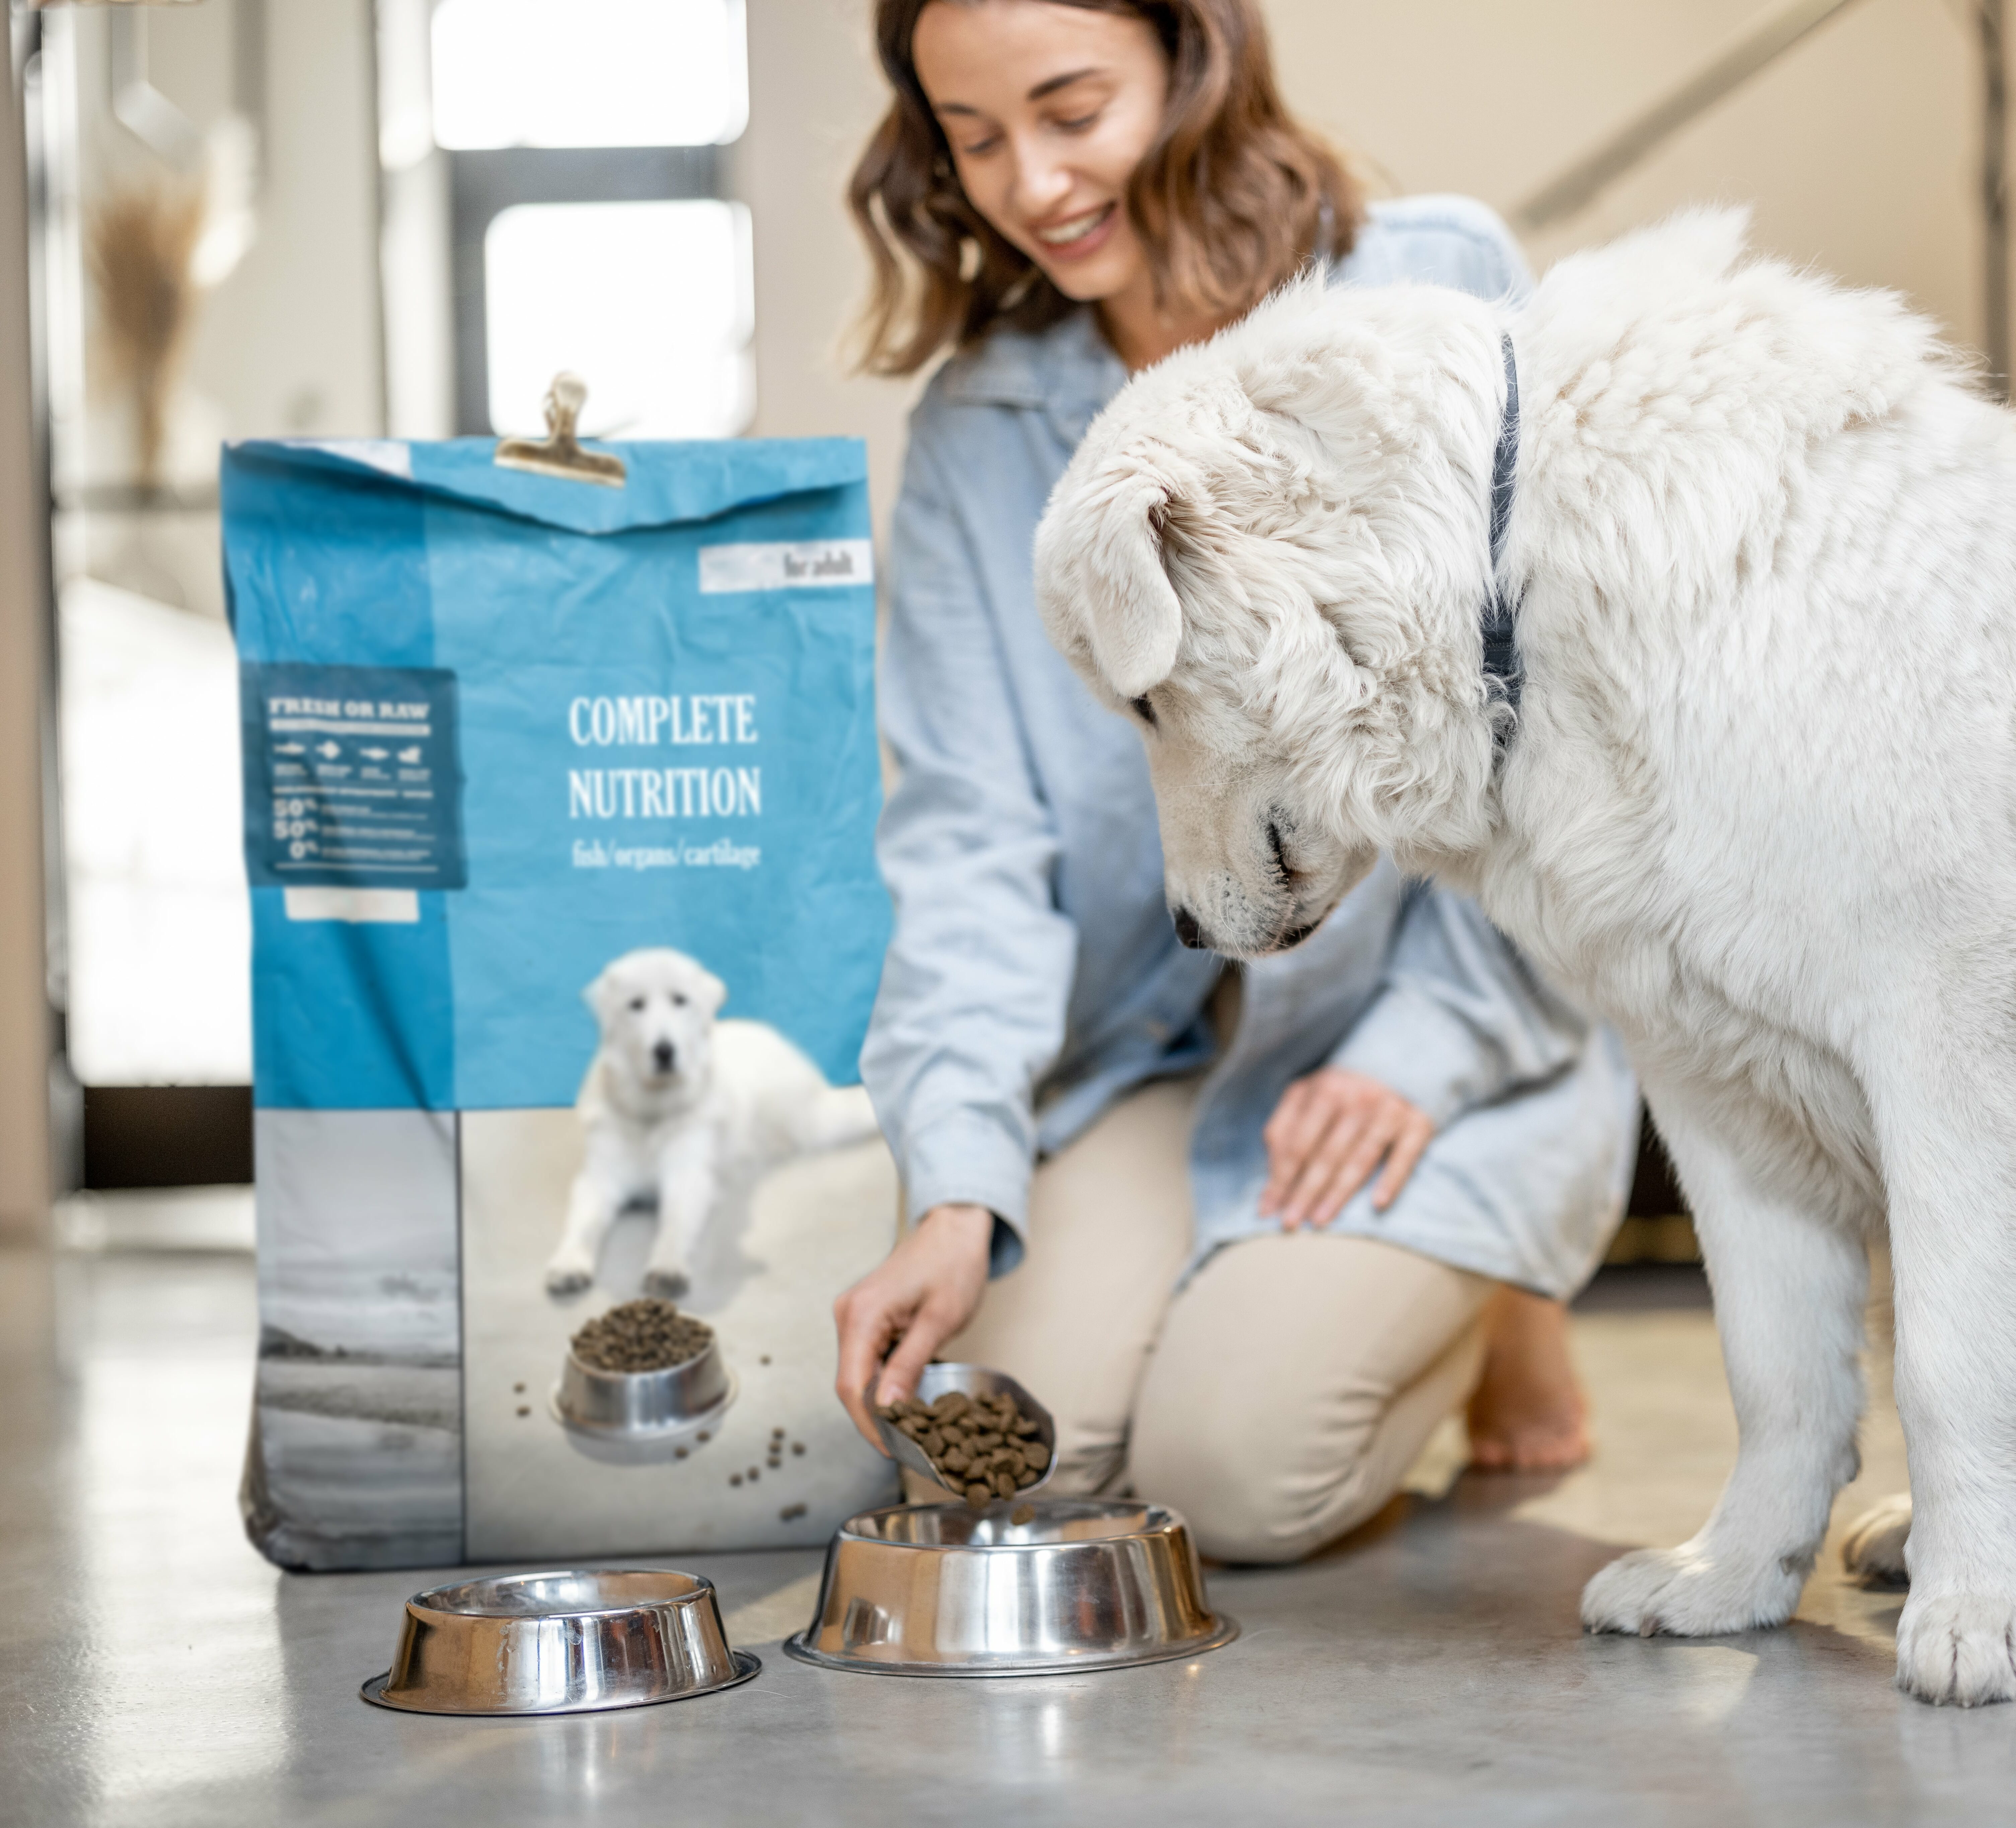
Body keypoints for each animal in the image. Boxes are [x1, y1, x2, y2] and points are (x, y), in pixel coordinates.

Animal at [544, 959, 883, 1298]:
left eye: (680, 1000)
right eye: (636, 1004)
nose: (664, 1051)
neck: (653, 1112)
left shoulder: (688, 1178)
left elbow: (675, 1225)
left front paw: (668, 1266)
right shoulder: (599, 1180)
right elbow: (584, 1226)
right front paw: (568, 1265)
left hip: (813, 1121)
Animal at [1032, 211, 2016, 1701]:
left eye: (1143, 703)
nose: (1189, 933)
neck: (1519, 590)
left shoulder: (1946, 1051)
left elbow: (1952, 1364)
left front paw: (1976, 1617)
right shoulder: (1723, 1088)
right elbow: (1777, 1374)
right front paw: (1729, 1582)